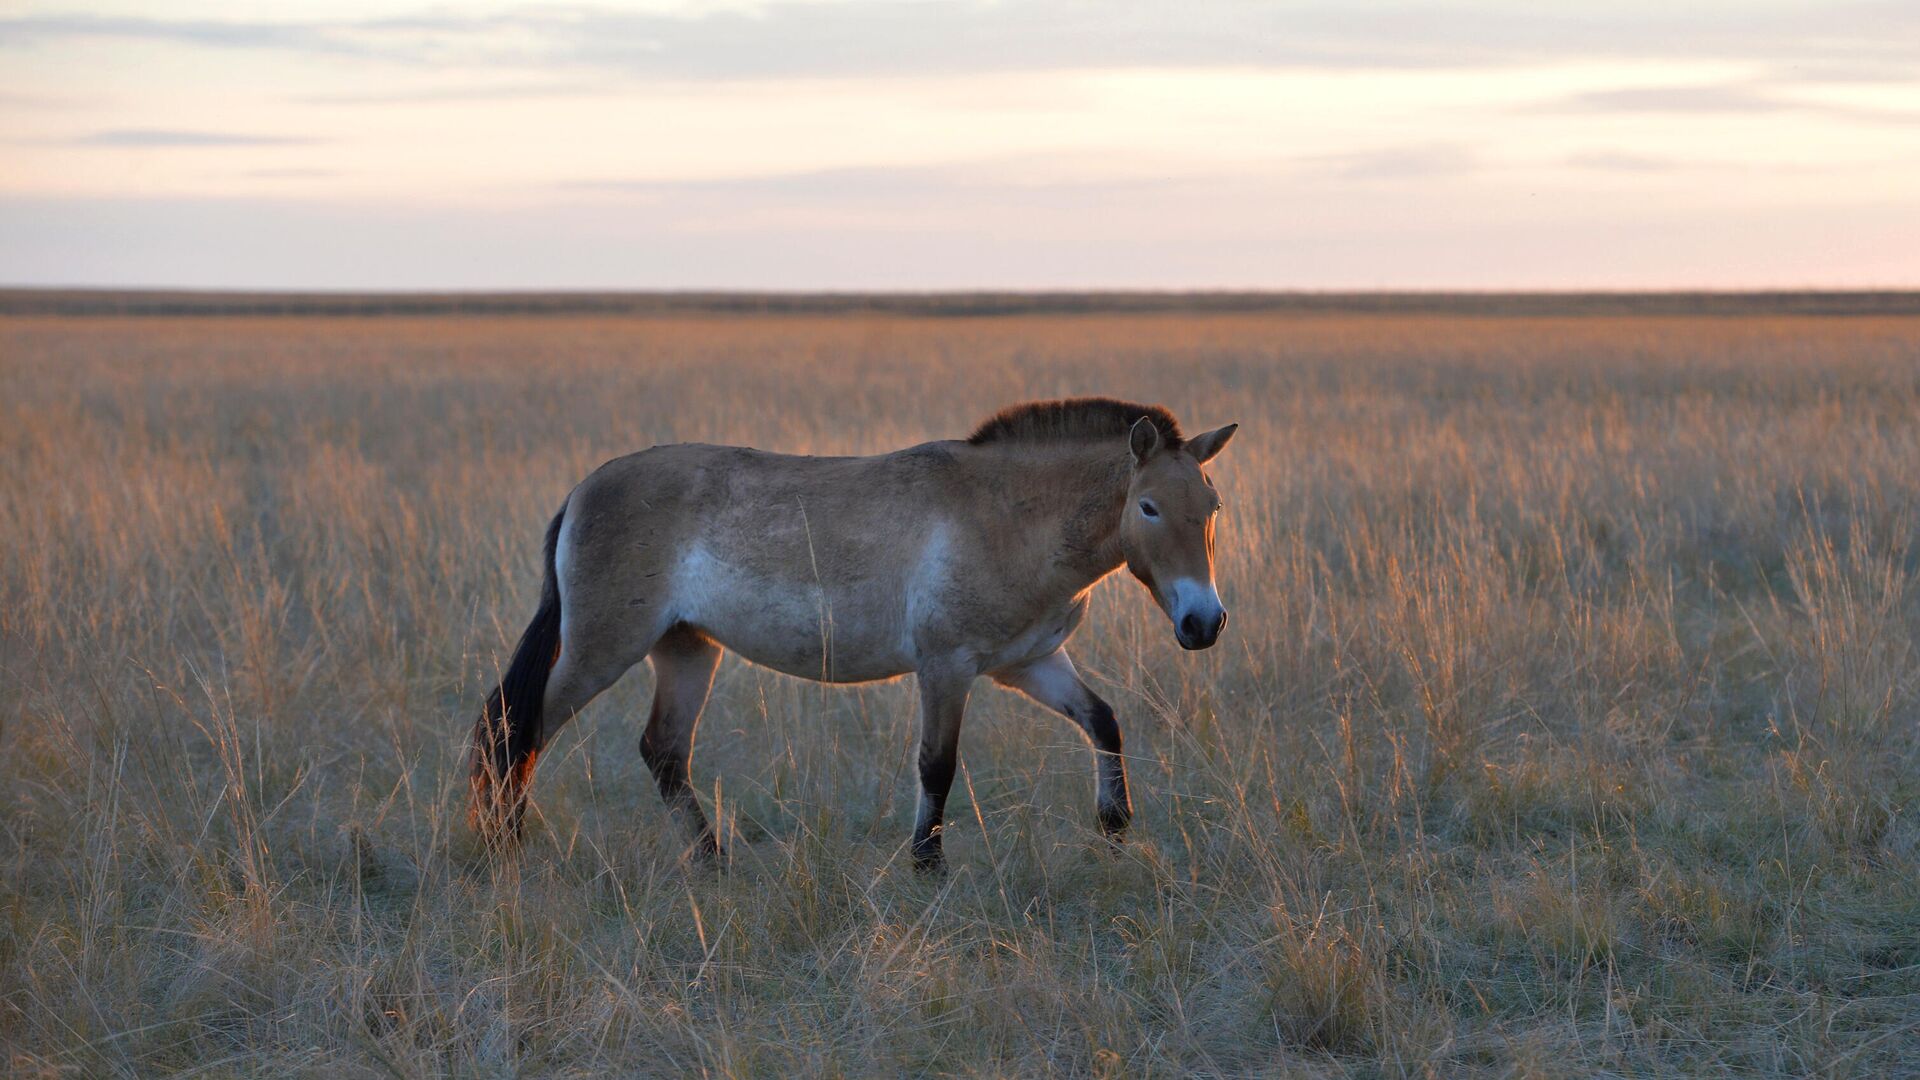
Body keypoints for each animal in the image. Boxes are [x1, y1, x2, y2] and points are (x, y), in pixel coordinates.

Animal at [472, 395, 1236, 864]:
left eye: (1212, 505)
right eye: (1148, 507)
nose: (1204, 622)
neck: (1007, 516)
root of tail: (583, 490)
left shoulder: (1029, 663)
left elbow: (1104, 722)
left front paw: (1113, 826)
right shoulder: (946, 667)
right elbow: (937, 765)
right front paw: (927, 864)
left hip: (686, 649)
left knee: (663, 752)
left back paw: (713, 860)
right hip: (602, 649)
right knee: (519, 728)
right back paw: (505, 847)